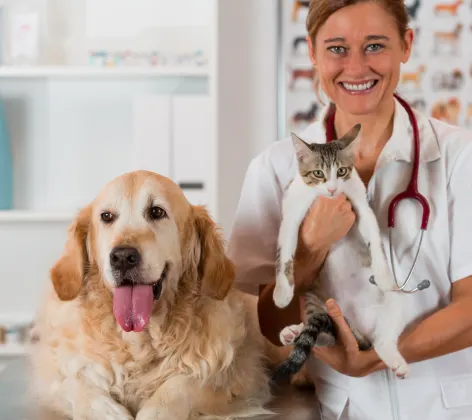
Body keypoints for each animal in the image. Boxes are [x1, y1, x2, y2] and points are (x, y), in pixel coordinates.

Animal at [27, 171, 274, 420]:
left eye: (156, 212)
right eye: (106, 216)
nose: (122, 257)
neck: (140, 339)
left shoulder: (238, 375)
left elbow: (183, 386)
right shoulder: (55, 370)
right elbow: (73, 383)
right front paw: (105, 410)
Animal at [272, 122, 410, 384]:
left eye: (342, 171)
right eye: (318, 173)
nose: (332, 188)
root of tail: (357, 327)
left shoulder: (361, 205)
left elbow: (374, 237)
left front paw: (382, 272)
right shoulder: (292, 212)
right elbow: (285, 251)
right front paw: (282, 292)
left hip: (395, 301)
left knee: (381, 339)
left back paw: (395, 360)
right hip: (313, 296)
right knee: (326, 336)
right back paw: (294, 332)